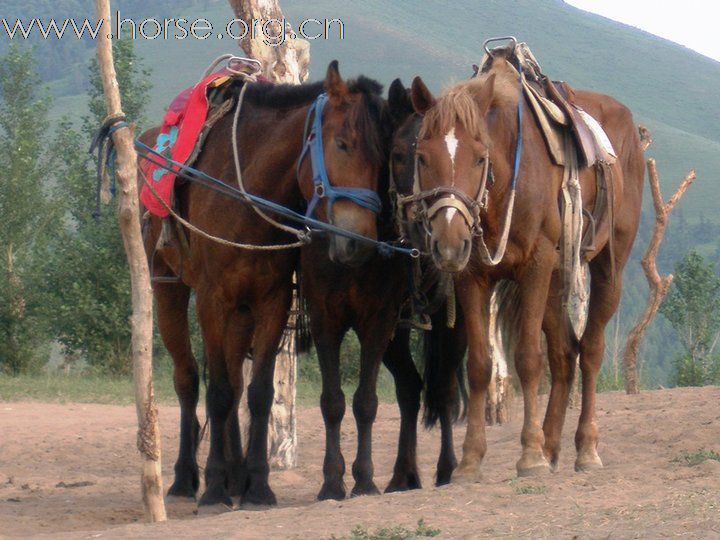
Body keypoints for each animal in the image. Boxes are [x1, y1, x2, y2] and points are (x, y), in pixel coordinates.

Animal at [141, 62, 394, 506]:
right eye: (343, 145)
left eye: (382, 158)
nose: (359, 241)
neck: (245, 193)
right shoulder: (212, 301)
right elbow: (217, 391)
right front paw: (214, 486)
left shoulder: (271, 301)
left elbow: (256, 393)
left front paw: (257, 484)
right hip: (168, 287)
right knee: (188, 380)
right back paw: (187, 478)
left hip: (243, 312)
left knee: (235, 381)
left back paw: (235, 476)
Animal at [402, 50, 644, 478]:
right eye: (422, 157)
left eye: (480, 158)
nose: (448, 242)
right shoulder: (473, 275)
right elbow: (480, 365)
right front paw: (471, 460)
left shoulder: (535, 265)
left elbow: (529, 360)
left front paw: (529, 454)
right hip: (555, 280)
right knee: (564, 354)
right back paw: (552, 445)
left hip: (606, 269)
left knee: (590, 349)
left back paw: (585, 448)